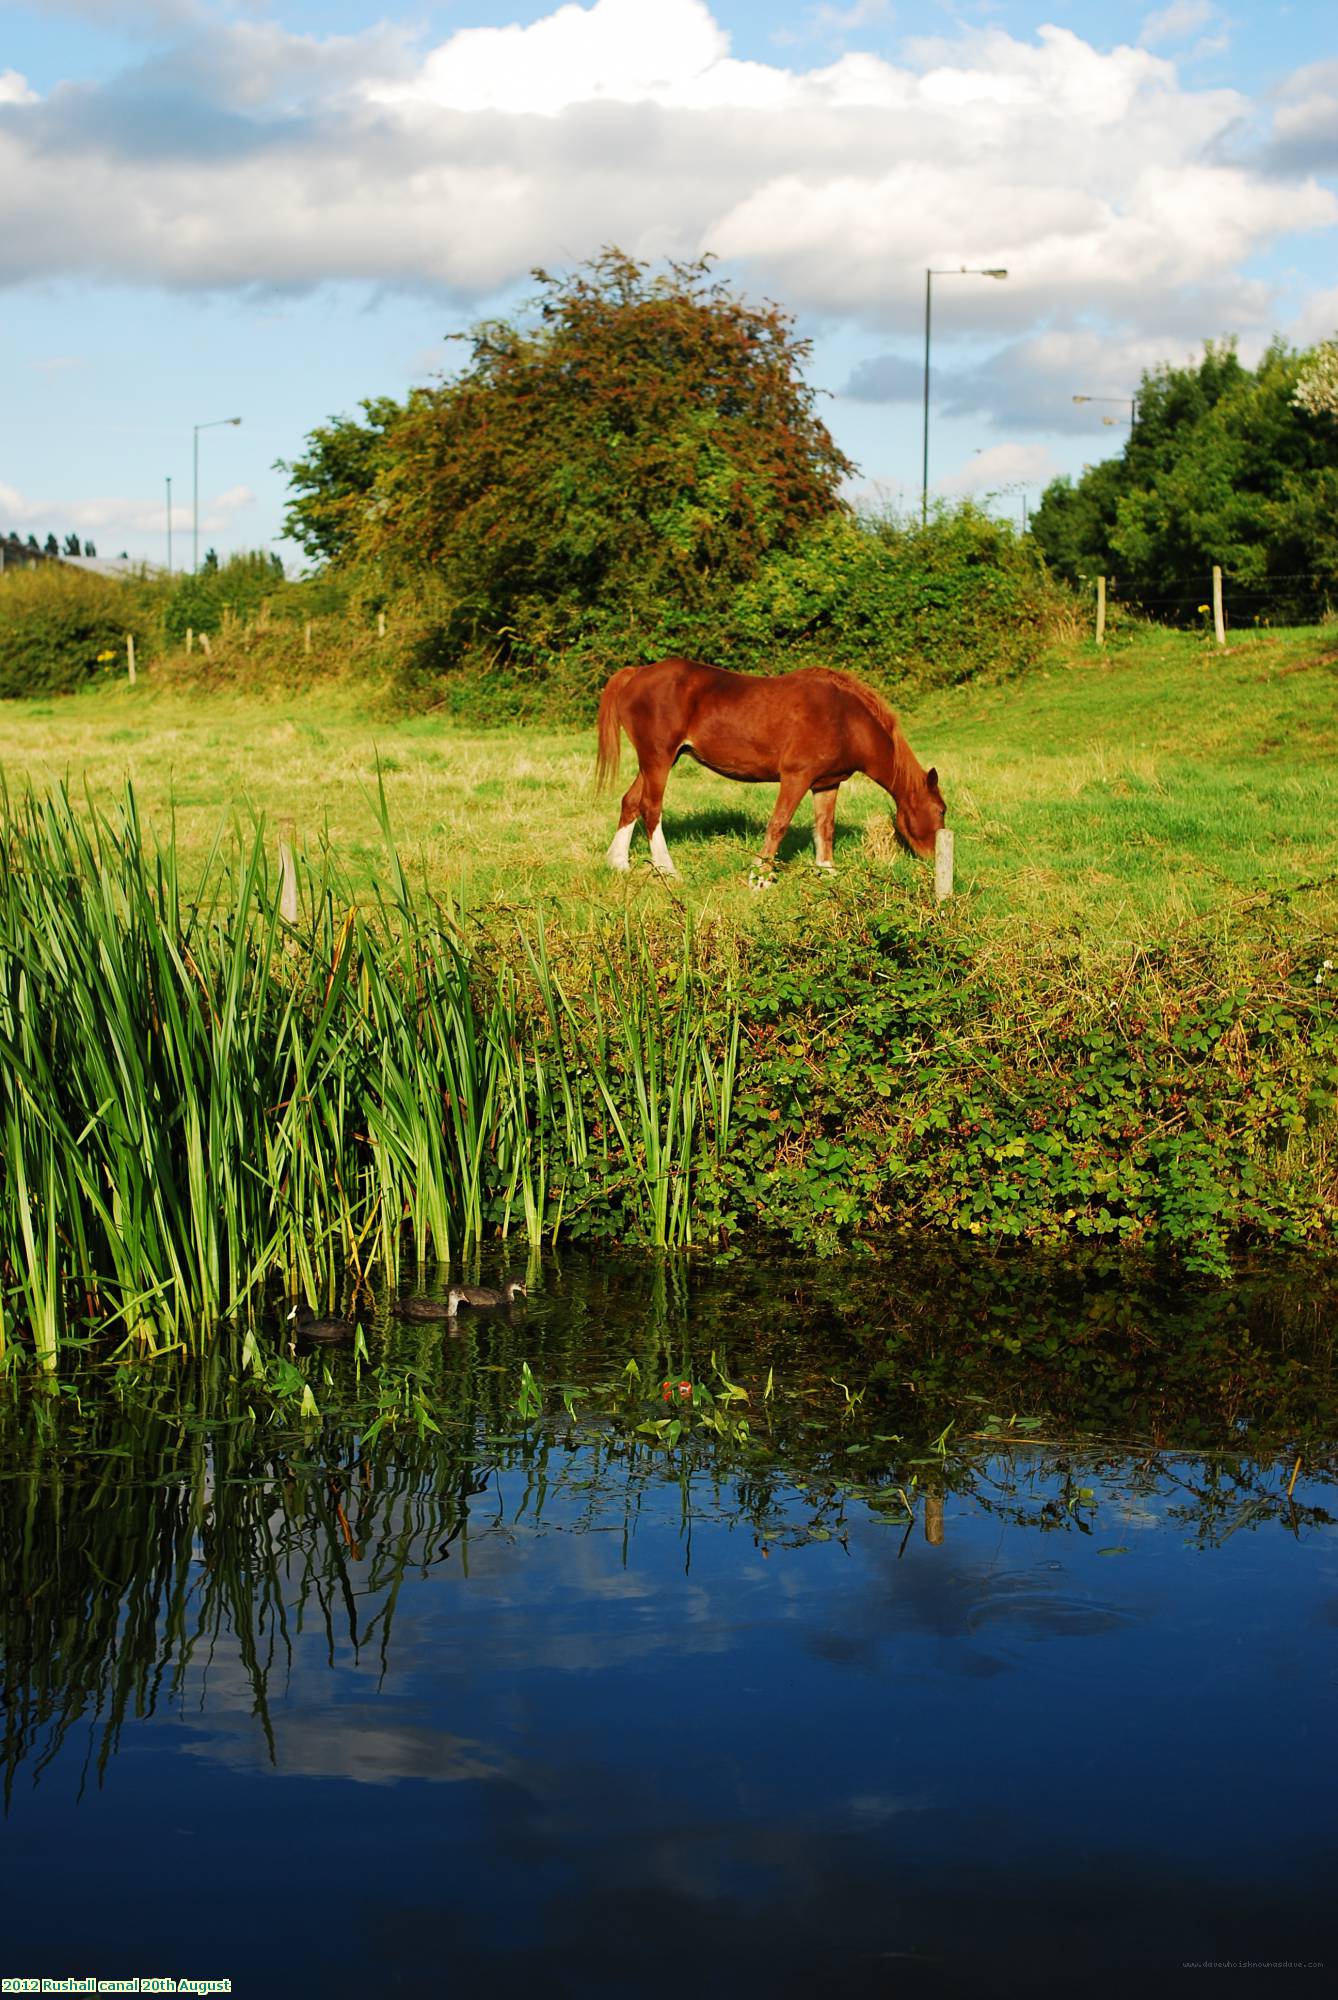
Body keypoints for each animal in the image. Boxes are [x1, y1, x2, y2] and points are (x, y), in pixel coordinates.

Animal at [596, 656, 940, 876]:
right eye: (940, 811)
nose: (933, 859)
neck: (845, 719)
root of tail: (636, 673)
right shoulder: (796, 777)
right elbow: (779, 824)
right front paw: (759, 876)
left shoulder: (827, 782)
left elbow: (825, 827)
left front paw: (827, 871)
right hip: (659, 759)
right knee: (651, 808)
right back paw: (668, 869)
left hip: (658, 760)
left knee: (631, 802)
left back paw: (619, 864)